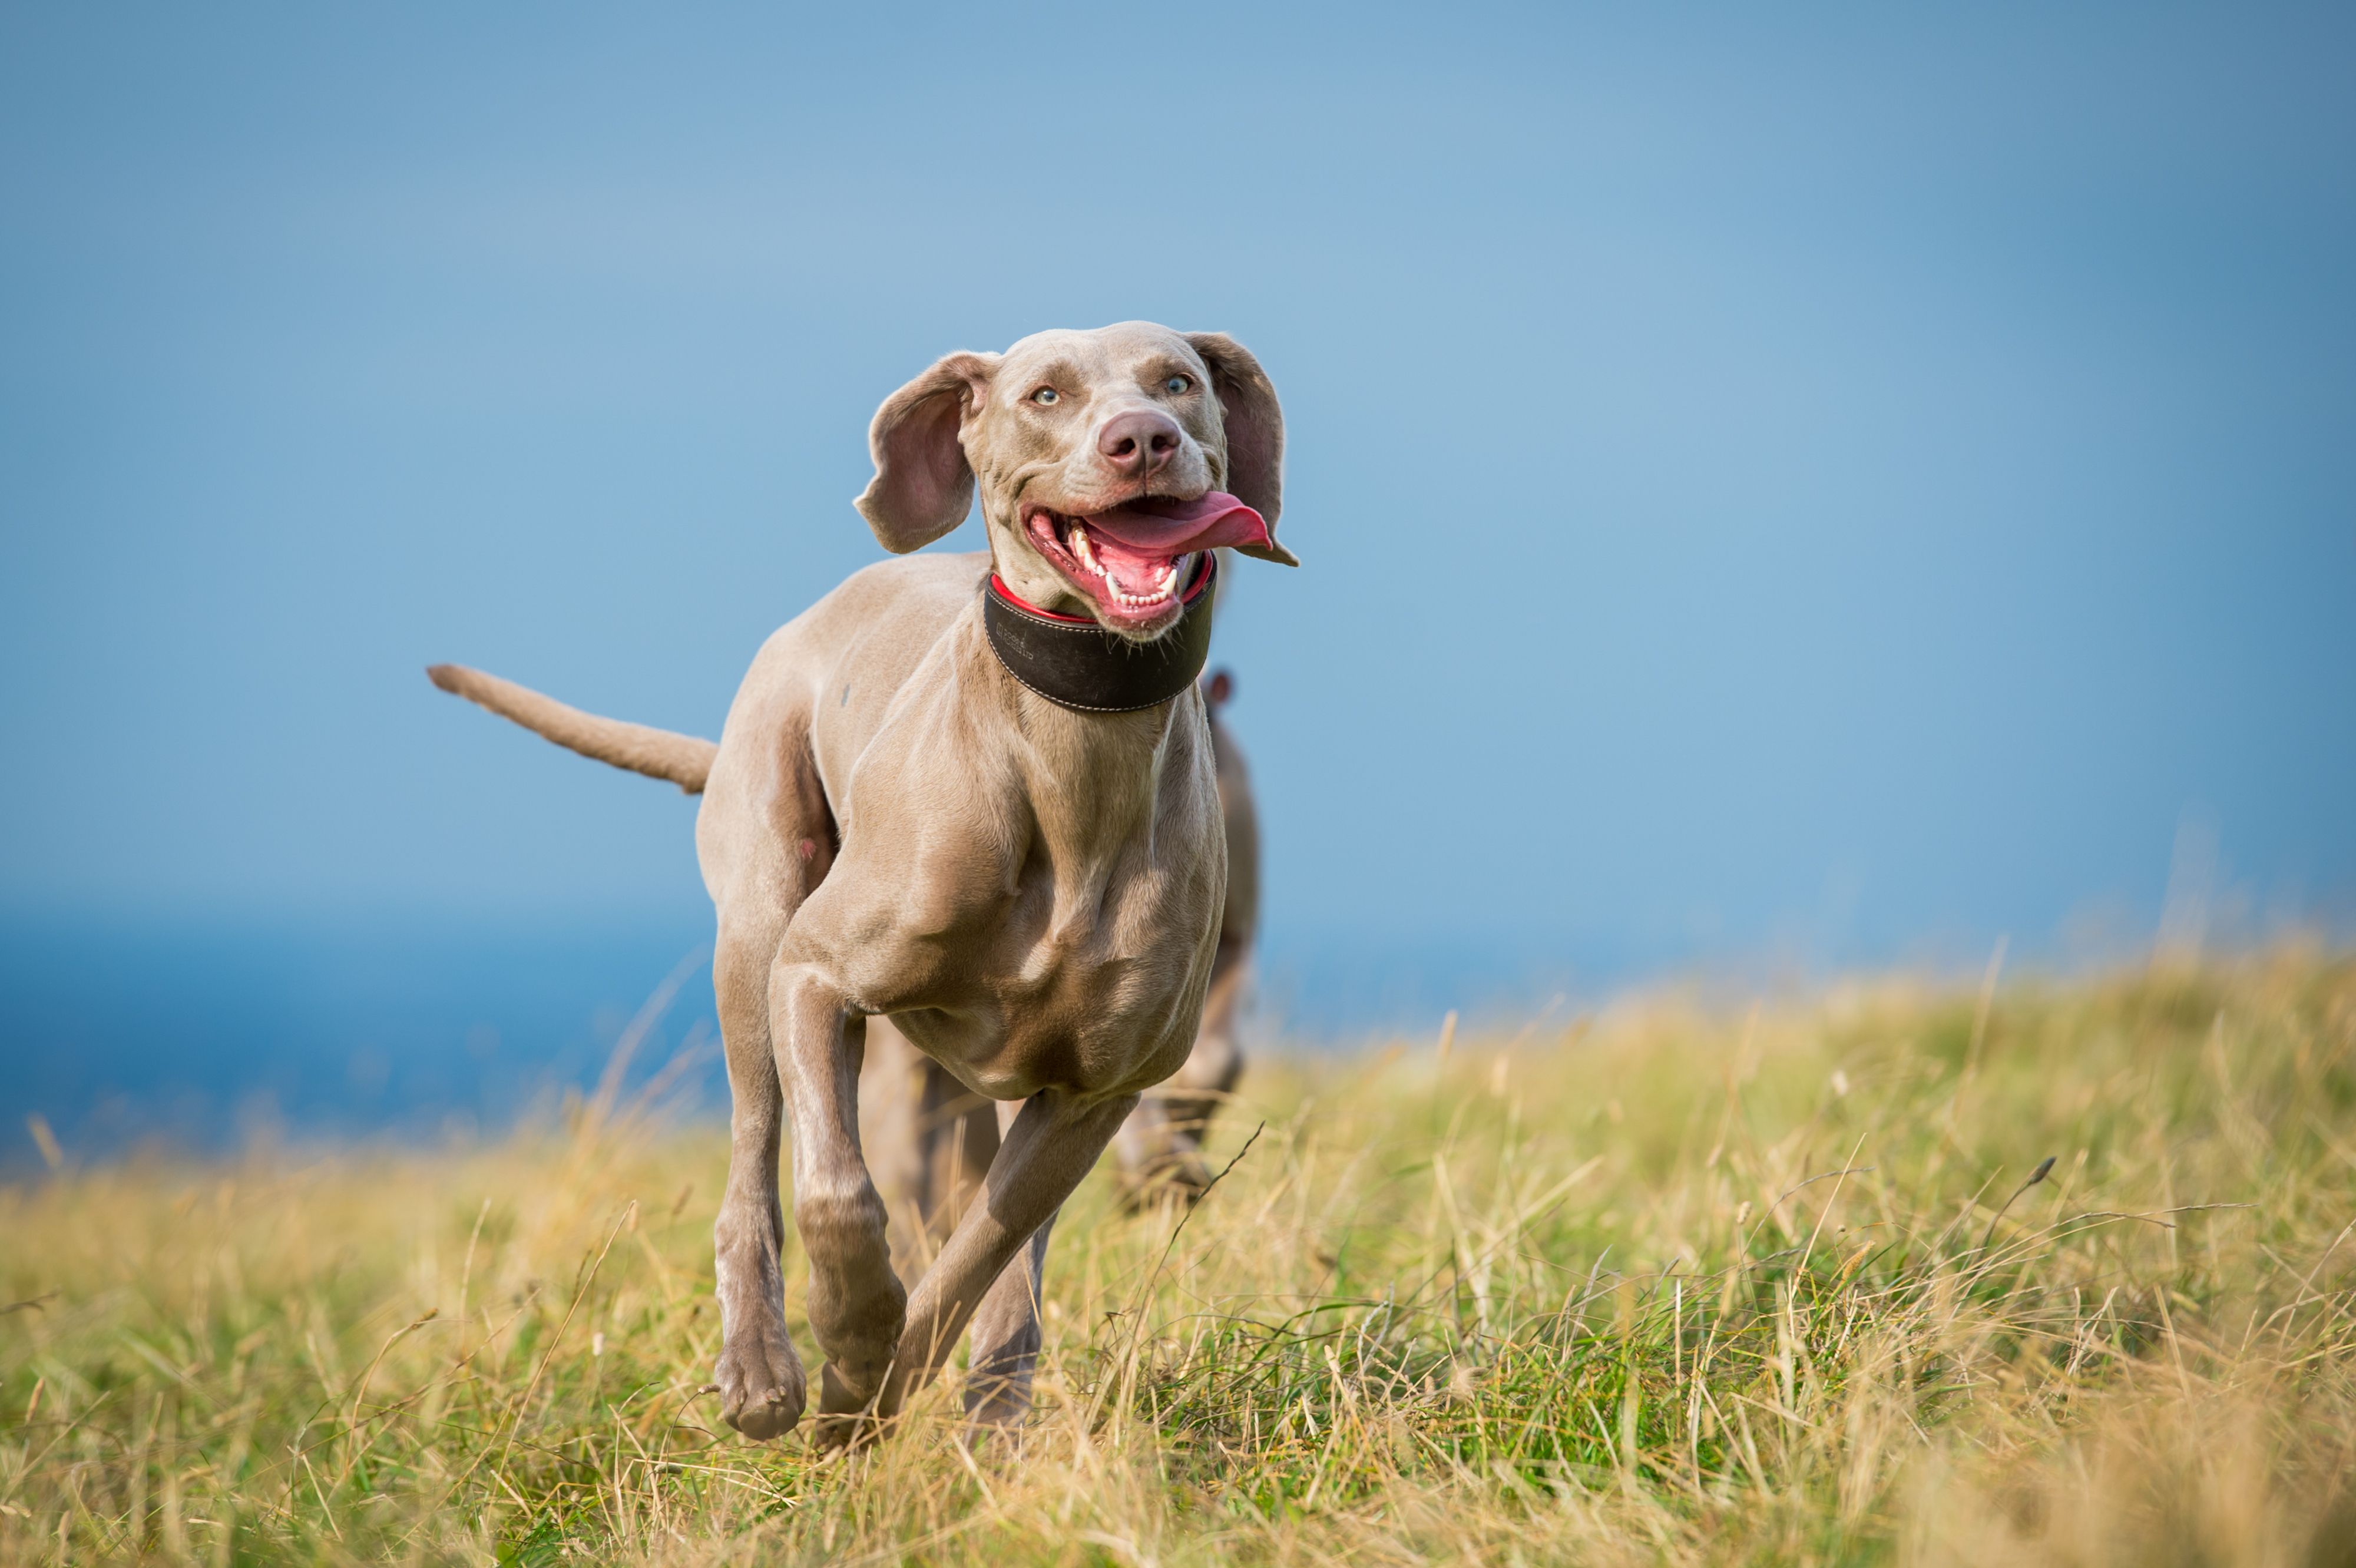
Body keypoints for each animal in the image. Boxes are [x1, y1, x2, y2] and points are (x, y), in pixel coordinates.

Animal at [434, 320, 1301, 1441]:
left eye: (1179, 382)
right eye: (1047, 394)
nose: (1143, 439)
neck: (1073, 751)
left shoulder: (1096, 1085)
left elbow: (983, 1256)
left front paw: (883, 1389)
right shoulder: (816, 976)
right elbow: (836, 1195)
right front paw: (850, 1344)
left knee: (987, 1239)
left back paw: (986, 1410)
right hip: (762, 916)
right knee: (758, 1156)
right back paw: (762, 1363)